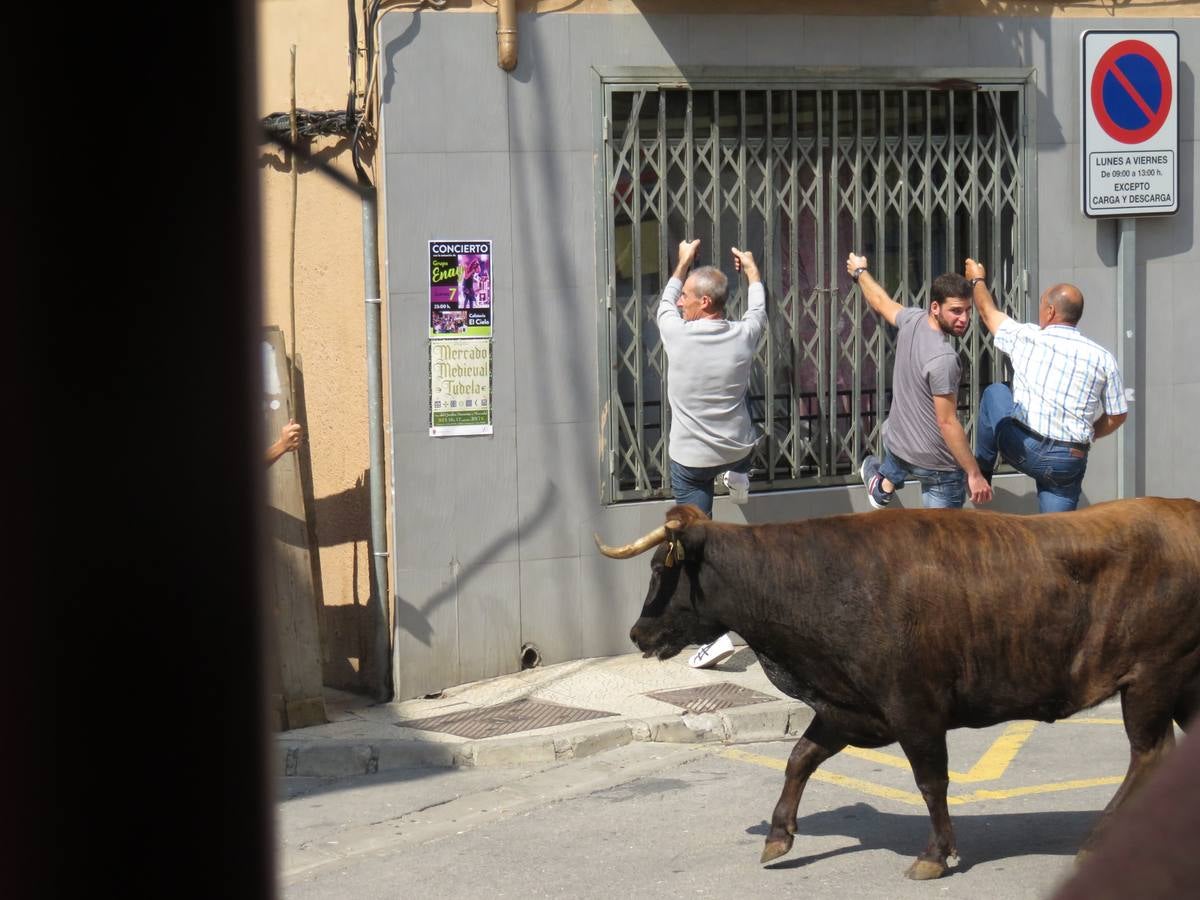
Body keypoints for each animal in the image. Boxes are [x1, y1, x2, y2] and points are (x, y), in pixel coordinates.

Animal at [595, 496, 1195, 883]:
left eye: (660, 568)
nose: (638, 634)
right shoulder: (847, 707)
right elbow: (799, 758)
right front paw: (778, 836)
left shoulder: (915, 709)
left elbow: (931, 782)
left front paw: (934, 854)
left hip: (1152, 678)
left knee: (1149, 753)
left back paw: (1100, 838)